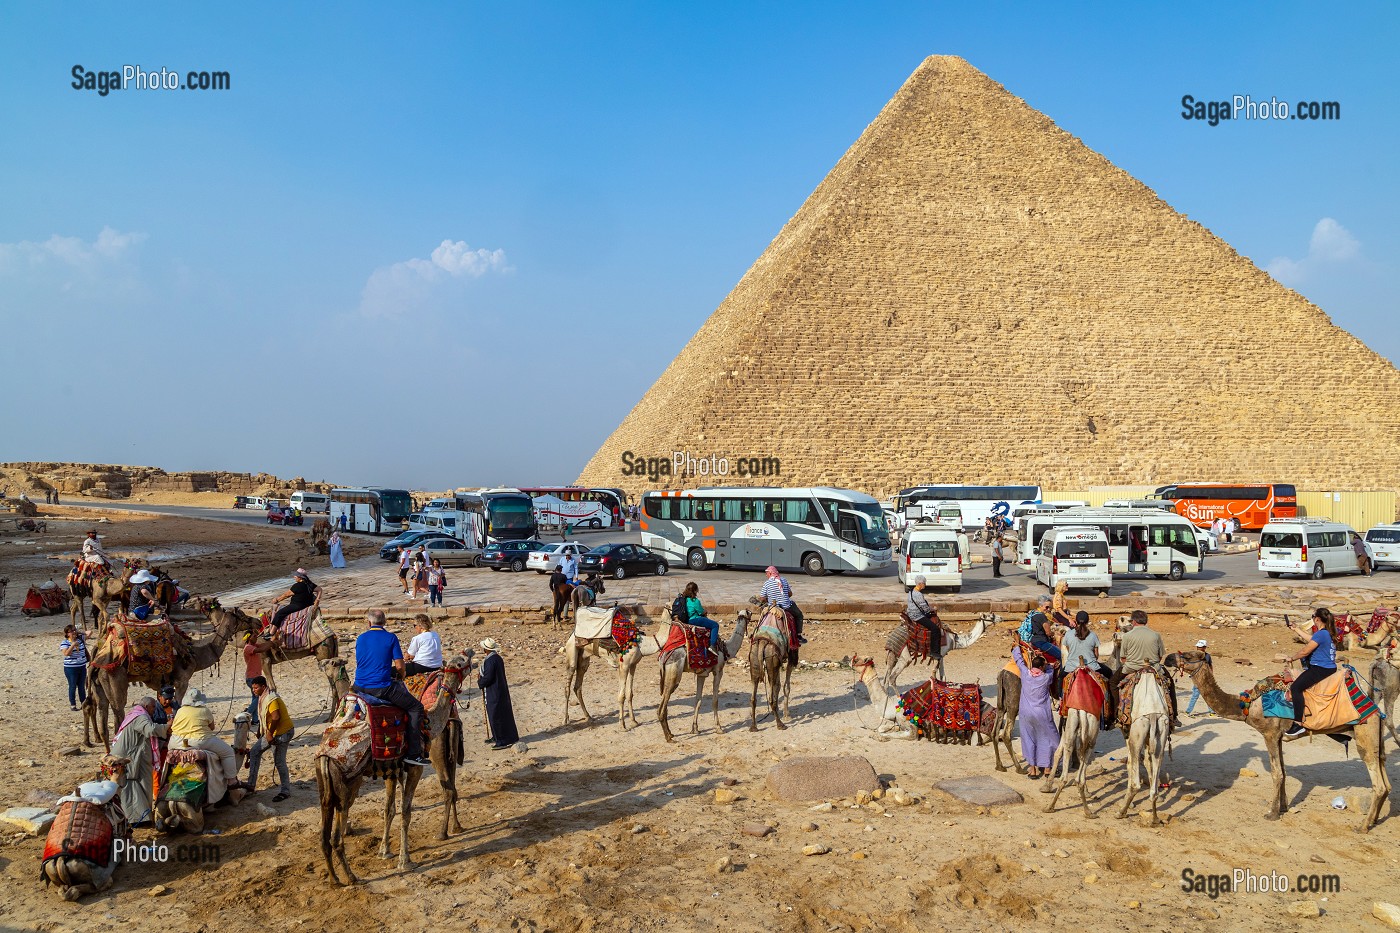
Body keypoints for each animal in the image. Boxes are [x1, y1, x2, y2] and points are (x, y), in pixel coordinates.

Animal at [315, 650, 473, 885]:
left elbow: (391, 810)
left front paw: (387, 851)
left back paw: (337, 879)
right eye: (461, 662)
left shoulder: (390, 769)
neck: (430, 718)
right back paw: (350, 877)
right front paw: (402, 859)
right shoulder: (408, 768)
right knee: (334, 837)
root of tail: (325, 757)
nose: (471, 653)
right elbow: (401, 811)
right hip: (346, 784)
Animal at [658, 610, 756, 739]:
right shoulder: (718, 671)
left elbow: (698, 700)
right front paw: (719, 728)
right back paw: (669, 737)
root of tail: (664, 656)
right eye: (749, 613)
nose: (753, 616)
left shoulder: (701, 674)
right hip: (674, 673)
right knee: (666, 698)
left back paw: (670, 733)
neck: (726, 648)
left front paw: (695, 729)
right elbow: (715, 700)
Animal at [1170, 647, 1388, 834]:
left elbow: (1276, 773)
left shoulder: (1270, 734)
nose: (1168, 658)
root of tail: (1377, 712)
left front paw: (1272, 813)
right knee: (1386, 781)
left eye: (1188, 656)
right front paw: (1283, 807)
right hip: (1376, 740)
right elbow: (1283, 771)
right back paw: (1374, 820)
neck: (1249, 705)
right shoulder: (1279, 737)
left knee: (1378, 785)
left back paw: (1362, 826)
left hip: (1364, 734)